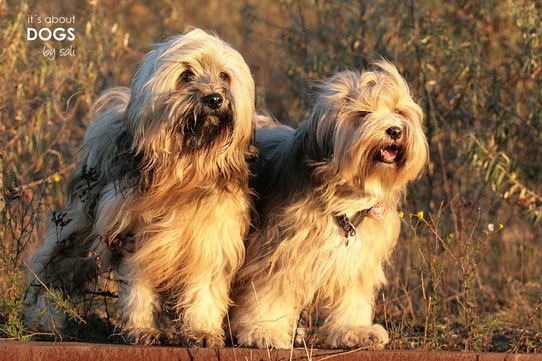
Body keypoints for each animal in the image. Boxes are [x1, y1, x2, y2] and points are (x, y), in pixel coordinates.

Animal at [28, 26, 260, 344]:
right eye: (186, 75)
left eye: (224, 75)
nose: (214, 99)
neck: (184, 173)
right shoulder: (136, 239)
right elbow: (140, 289)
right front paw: (142, 329)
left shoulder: (210, 240)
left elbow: (203, 291)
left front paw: (201, 330)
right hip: (77, 230)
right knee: (50, 269)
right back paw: (45, 318)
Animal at [232, 60, 432, 348]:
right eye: (362, 114)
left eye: (398, 110)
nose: (395, 130)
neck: (347, 197)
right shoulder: (276, 252)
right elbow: (268, 291)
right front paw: (264, 331)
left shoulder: (358, 257)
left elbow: (351, 298)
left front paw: (354, 330)